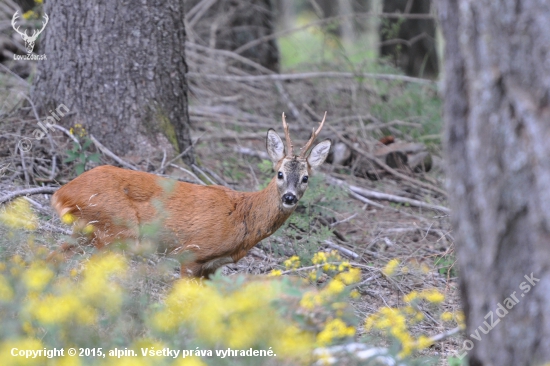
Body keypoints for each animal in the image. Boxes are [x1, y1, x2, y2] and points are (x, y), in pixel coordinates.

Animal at [52, 113, 332, 276]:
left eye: (305, 178)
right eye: (280, 174)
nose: (289, 198)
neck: (244, 218)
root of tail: (62, 191)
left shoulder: (212, 267)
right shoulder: (192, 252)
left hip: (87, 231)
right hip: (115, 229)